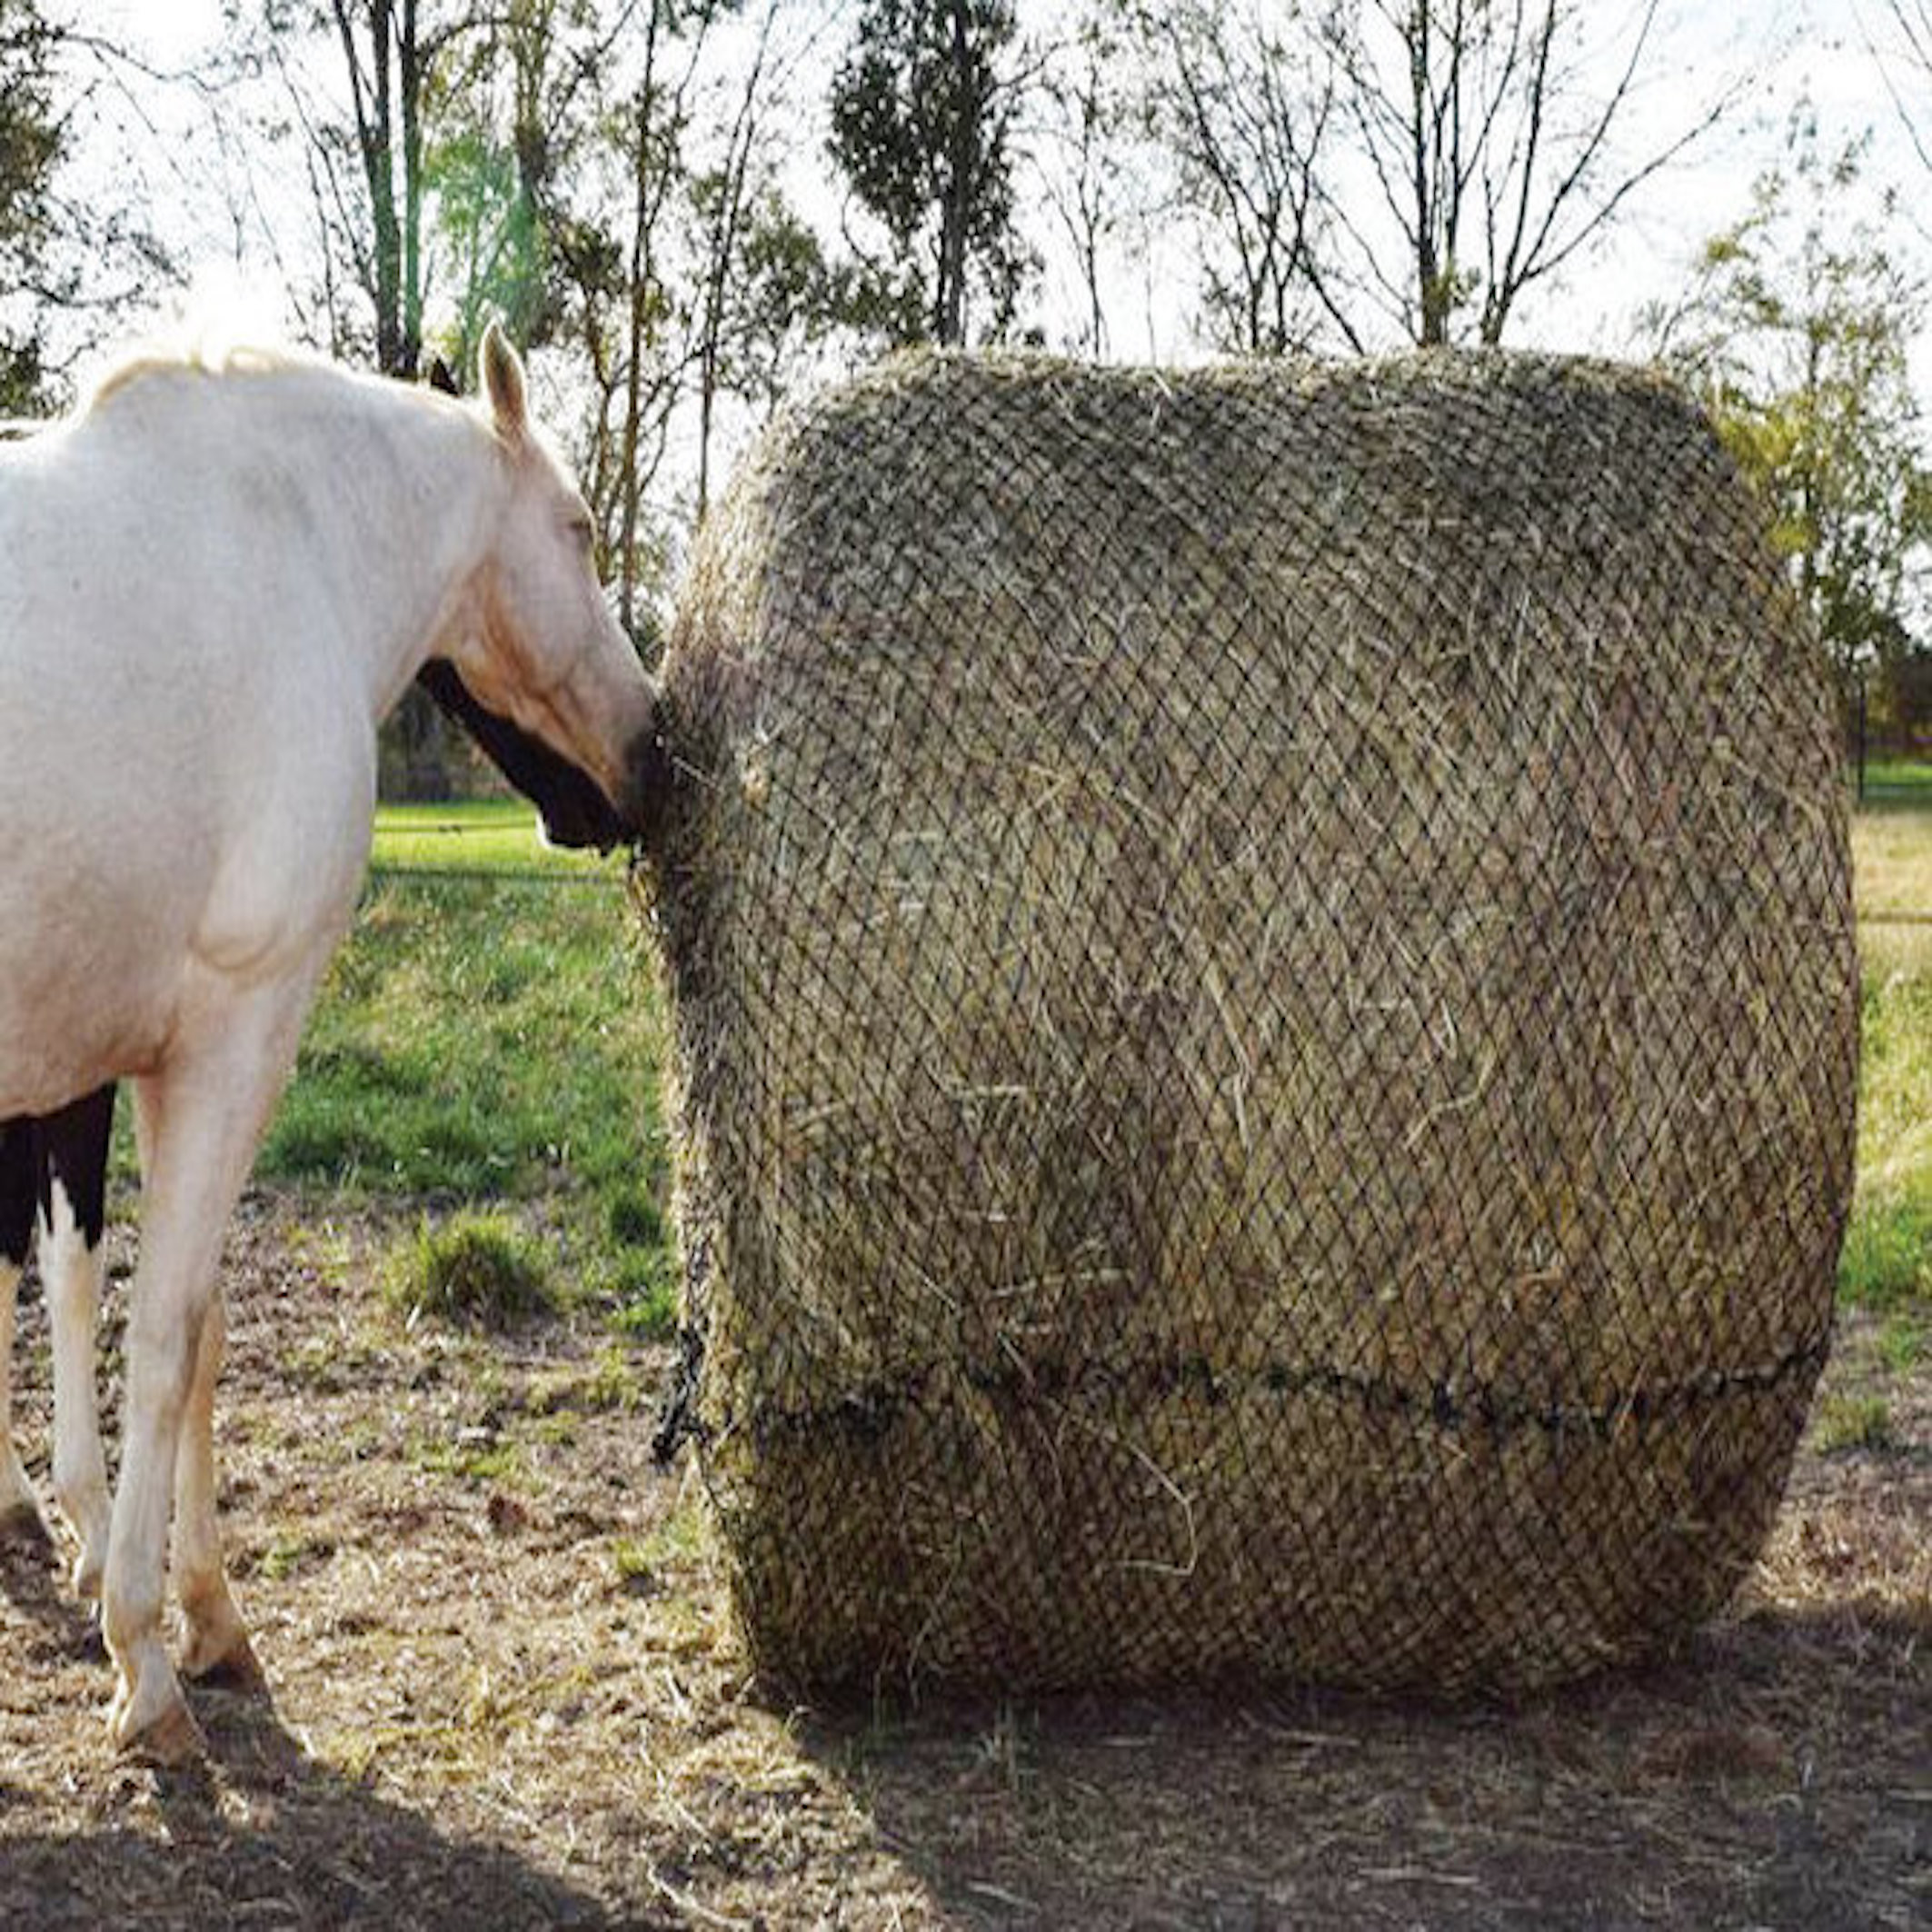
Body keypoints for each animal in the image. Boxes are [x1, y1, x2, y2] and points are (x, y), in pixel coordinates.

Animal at [0, 323, 665, 1762]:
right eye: (579, 529)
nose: (654, 753)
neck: (285, 540)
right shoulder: (234, 1035)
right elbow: (163, 1335)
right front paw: (149, 1651)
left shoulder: (147, 1061)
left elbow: (183, 1325)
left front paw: (199, 1607)